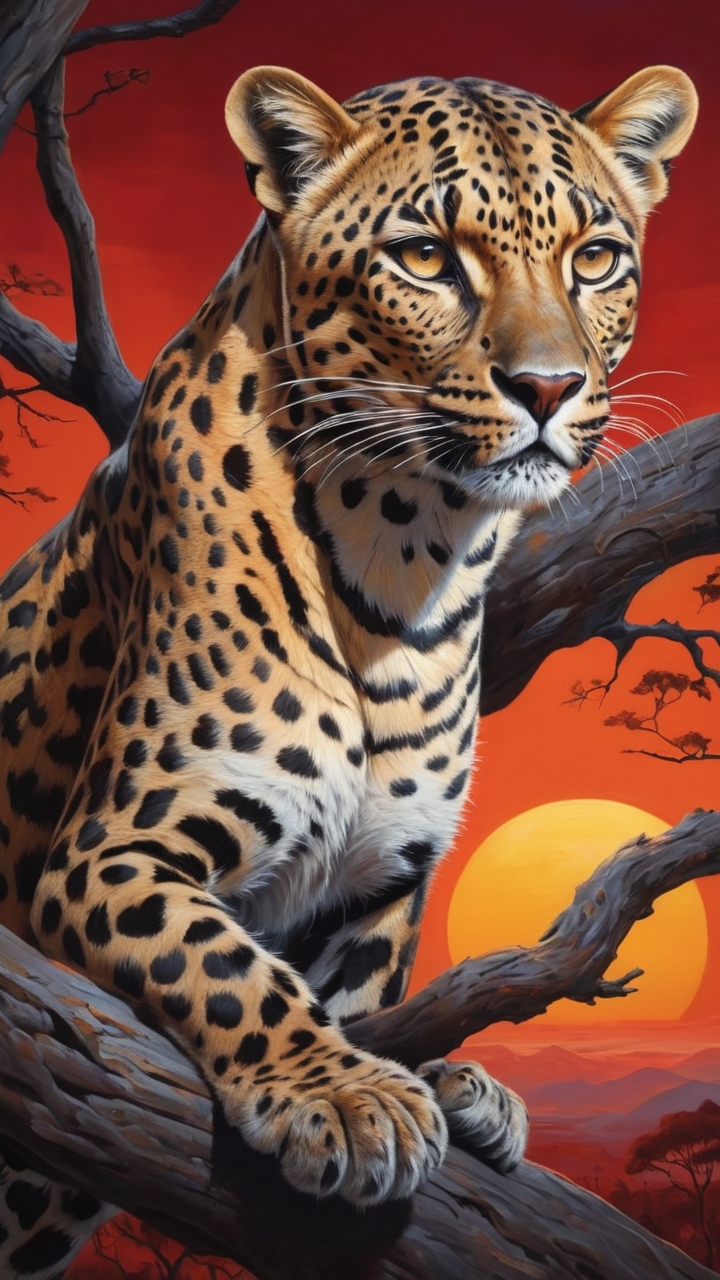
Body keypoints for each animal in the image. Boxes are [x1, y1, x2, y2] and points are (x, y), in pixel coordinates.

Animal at [0, 61, 697, 1277]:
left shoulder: (371, 891)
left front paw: (439, 1081)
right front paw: (343, 1095)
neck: (408, 561)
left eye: (595, 257)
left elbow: (351, 994)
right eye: (425, 257)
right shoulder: (104, 854)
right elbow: (224, 961)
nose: (549, 387)